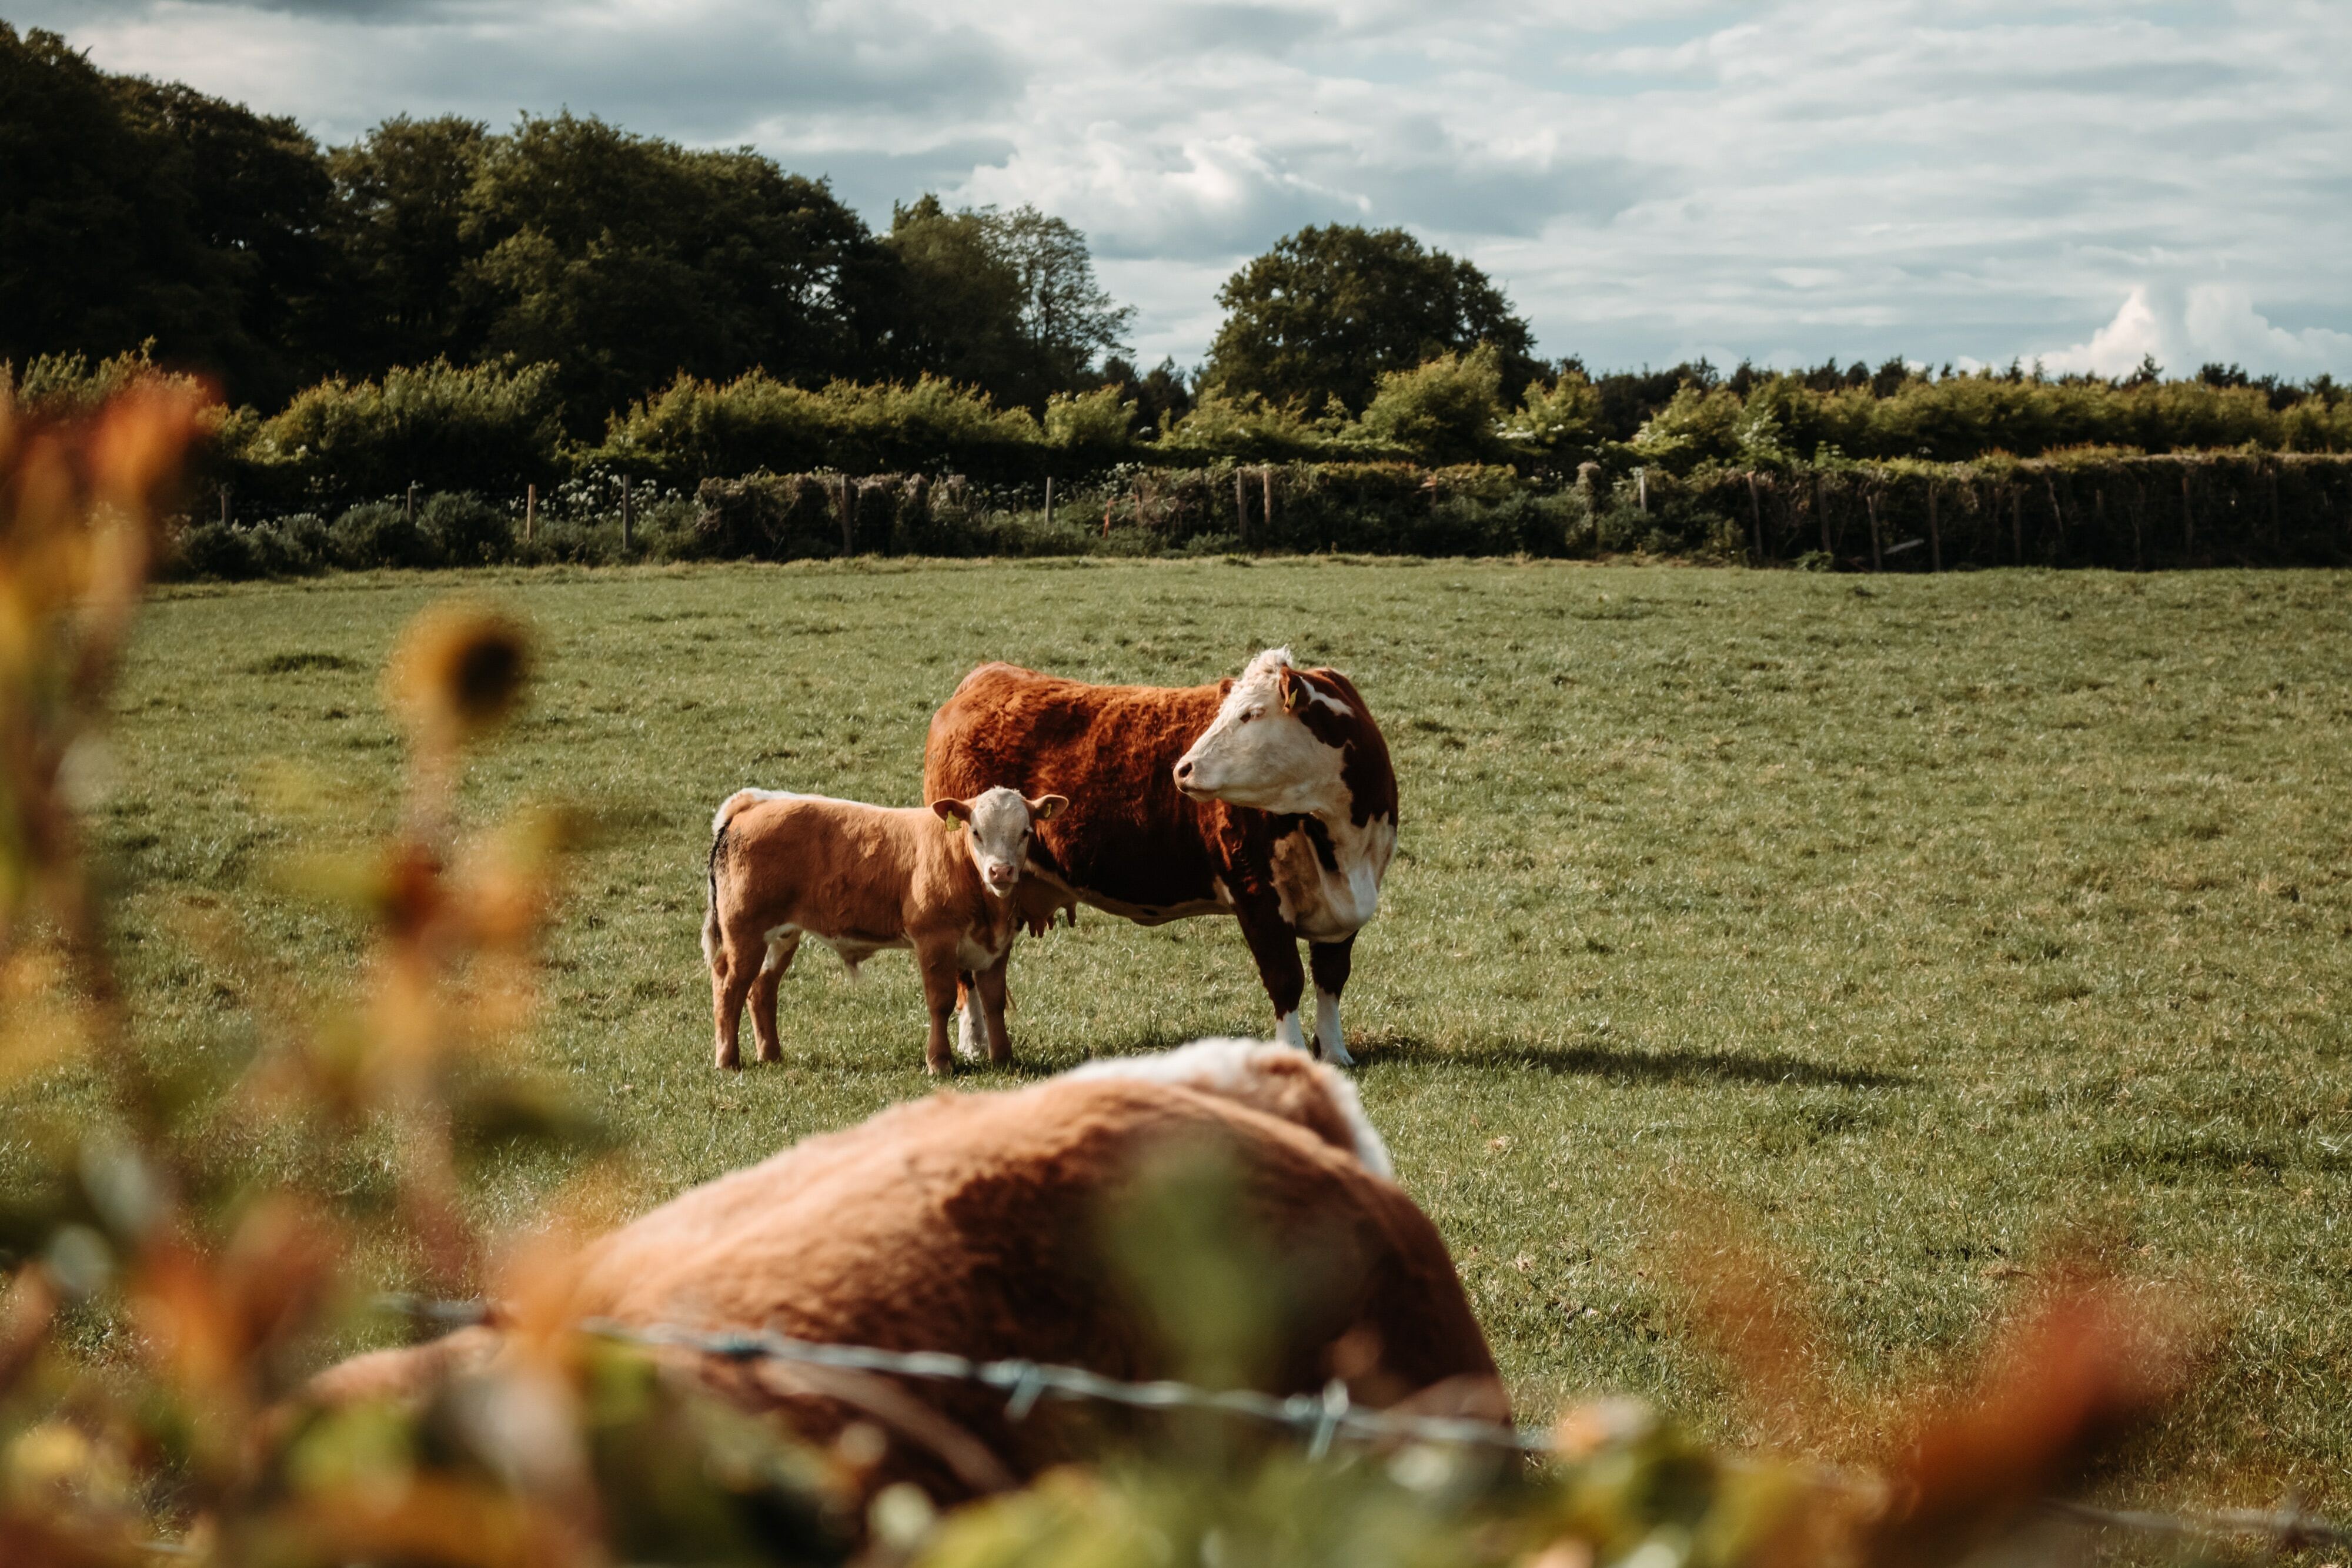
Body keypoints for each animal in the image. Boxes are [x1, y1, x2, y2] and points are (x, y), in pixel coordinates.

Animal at [696, 790, 1068, 1072]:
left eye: (1025, 832)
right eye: (976, 832)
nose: (1001, 871)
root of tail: (754, 803)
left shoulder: (997, 946)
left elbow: (994, 1002)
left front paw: (1003, 1059)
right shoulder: (934, 940)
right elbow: (940, 1001)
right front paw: (939, 1062)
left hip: (782, 935)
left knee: (761, 987)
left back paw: (771, 1055)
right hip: (745, 931)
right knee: (729, 985)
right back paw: (728, 1060)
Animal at [922, 648, 1392, 1067]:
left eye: (1251, 714)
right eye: (1225, 712)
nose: (1182, 768)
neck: (1340, 844)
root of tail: (988, 675)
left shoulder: (1347, 908)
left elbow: (1331, 979)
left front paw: (1335, 1052)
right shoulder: (1257, 894)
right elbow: (1286, 978)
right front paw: (1294, 1052)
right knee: (966, 974)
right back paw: (973, 1044)